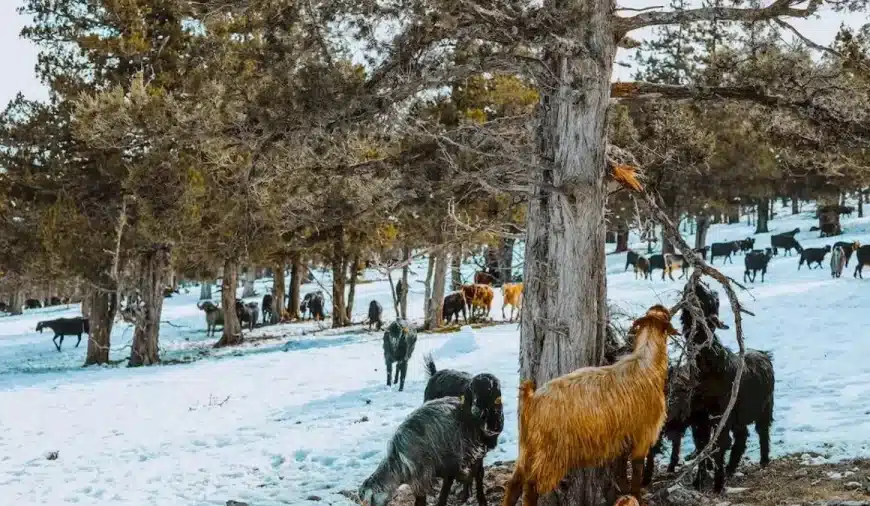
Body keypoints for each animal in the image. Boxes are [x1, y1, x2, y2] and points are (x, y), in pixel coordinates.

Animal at [360, 398, 490, 506]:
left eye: (371, 498)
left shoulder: (448, 465)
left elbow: (444, 492)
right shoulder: (421, 481)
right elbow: (420, 500)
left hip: (473, 447)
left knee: (478, 472)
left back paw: (481, 498)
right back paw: (466, 494)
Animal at [422, 356, 504, 506]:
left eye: (489, 389)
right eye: (472, 389)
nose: (476, 410)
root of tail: (435, 373)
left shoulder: (480, 450)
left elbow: (478, 472)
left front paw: (479, 498)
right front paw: (466, 494)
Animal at [500, 304, 676, 506]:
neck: (646, 362)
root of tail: (532, 399)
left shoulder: (622, 436)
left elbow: (621, 469)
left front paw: (624, 492)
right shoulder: (643, 434)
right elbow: (637, 470)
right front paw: (636, 497)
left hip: (528, 447)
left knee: (514, 483)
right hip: (551, 454)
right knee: (531, 487)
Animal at [684, 282, 772, 492]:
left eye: (714, 299)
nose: (697, 284)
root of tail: (765, 354)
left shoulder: (721, 414)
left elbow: (719, 446)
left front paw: (717, 485)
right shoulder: (699, 417)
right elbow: (702, 447)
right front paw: (699, 482)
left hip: (765, 407)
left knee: (762, 431)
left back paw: (763, 461)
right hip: (739, 416)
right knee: (742, 436)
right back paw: (731, 467)